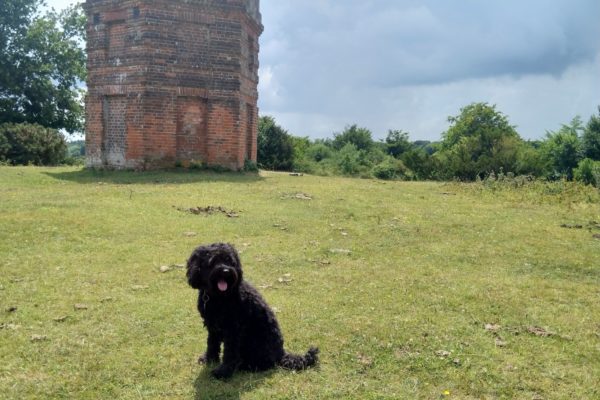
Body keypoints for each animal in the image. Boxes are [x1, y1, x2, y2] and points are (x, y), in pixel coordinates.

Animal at [186, 242, 318, 380]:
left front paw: (223, 372)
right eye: (213, 261)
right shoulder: (212, 326)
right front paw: (209, 360)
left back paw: (243, 366)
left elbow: (229, 353)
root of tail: (281, 354)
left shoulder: (233, 330)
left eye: (230, 261)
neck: (220, 297)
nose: (226, 271)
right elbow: (212, 344)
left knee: (264, 364)